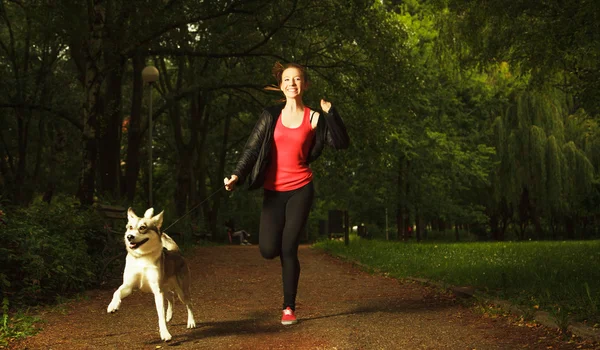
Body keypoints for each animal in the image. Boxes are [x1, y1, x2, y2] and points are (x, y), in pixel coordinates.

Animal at [105, 208, 195, 342]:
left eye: (142, 227)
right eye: (130, 227)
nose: (129, 237)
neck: (142, 257)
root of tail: (177, 252)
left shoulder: (157, 291)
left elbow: (160, 315)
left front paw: (165, 333)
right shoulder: (128, 286)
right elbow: (116, 292)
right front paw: (113, 305)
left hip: (181, 291)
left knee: (189, 303)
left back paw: (191, 322)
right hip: (165, 288)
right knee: (171, 297)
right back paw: (169, 315)